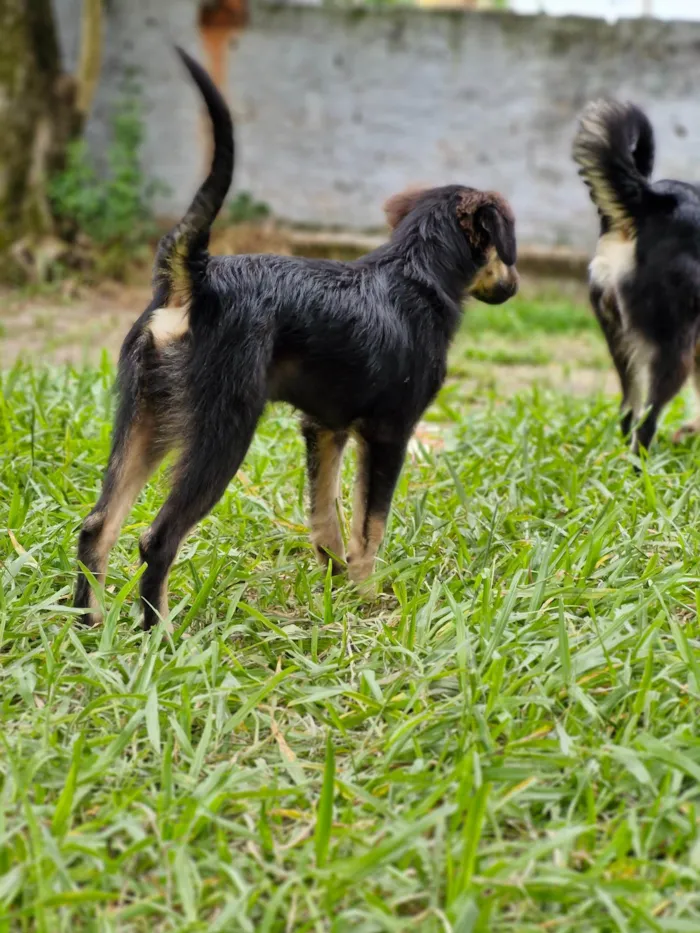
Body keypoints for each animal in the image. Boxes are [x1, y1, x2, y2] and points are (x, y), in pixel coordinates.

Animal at [74, 45, 520, 628]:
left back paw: (86, 627)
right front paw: (368, 598)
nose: (514, 285)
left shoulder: (324, 428)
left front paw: (338, 588)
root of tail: (196, 279)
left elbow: (325, 519)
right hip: (222, 431)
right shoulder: (389, 434)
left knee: (96, 527)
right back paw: (159, 632)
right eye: (505, 246)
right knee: (157, 539)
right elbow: (370, 525)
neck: (414, 271)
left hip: (145, 420)